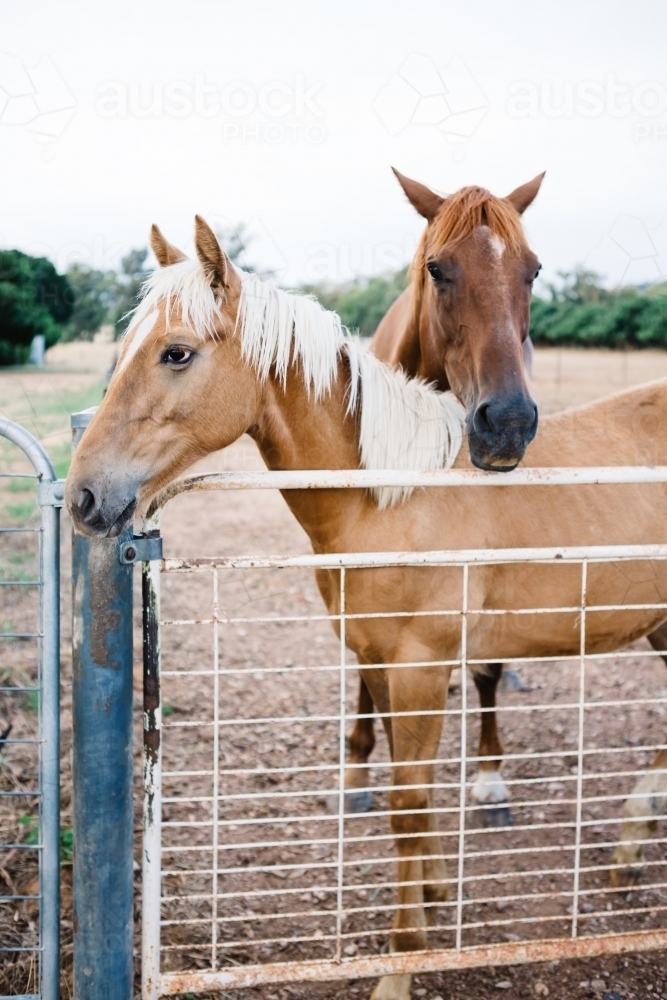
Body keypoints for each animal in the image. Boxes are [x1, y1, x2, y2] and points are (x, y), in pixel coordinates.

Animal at [67, 218, 667, 1000]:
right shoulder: (380, 664)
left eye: (176, 353)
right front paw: (433, 897)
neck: (391, 494)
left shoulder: (419, 668)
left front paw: (402, 961)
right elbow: (410, 790)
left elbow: (407, 804)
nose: (81, 496)